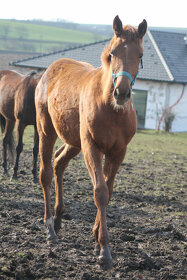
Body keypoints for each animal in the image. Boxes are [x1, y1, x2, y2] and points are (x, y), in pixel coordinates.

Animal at [34, 15, 146, 270]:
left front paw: (96, 240)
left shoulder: (118, 152)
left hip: (73, 141)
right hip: (47, 131)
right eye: (113, 53)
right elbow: (100, 191)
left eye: (140, 55)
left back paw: (58, 219)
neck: (111, 109)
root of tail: (49, 70)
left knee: (58, 163)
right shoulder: (92, 147)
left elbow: (109, 190)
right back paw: (49, 229)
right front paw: (104, 251)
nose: (121, 93)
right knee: (45, 173)